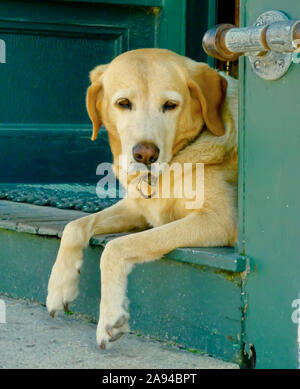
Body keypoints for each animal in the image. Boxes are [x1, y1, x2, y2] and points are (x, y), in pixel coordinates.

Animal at [47, 48, 238, 348]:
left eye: (170, 105)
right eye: (124, 103)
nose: (145, 154)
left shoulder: (219, 220)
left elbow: (116, 248)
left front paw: (110, 316)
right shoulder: (138, 208)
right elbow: (74, 226)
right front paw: (59, 287)